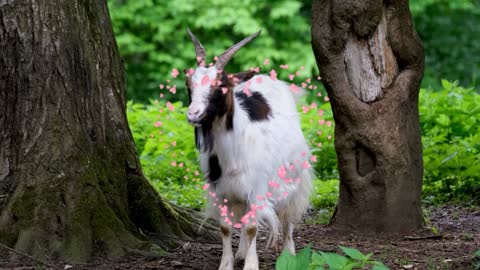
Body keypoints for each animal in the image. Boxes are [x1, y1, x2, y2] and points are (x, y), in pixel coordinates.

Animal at [184, 29, 312, 270]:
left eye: (220, 85)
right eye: (189, 84)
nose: (193, 113)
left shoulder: (257, 188)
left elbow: (253, 227)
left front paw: (251, 265)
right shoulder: (221, 190)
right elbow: (226, 228)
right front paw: (227, 263)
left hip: (294, 175)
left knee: (288, 214)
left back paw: (289, 252)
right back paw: (242, 251)